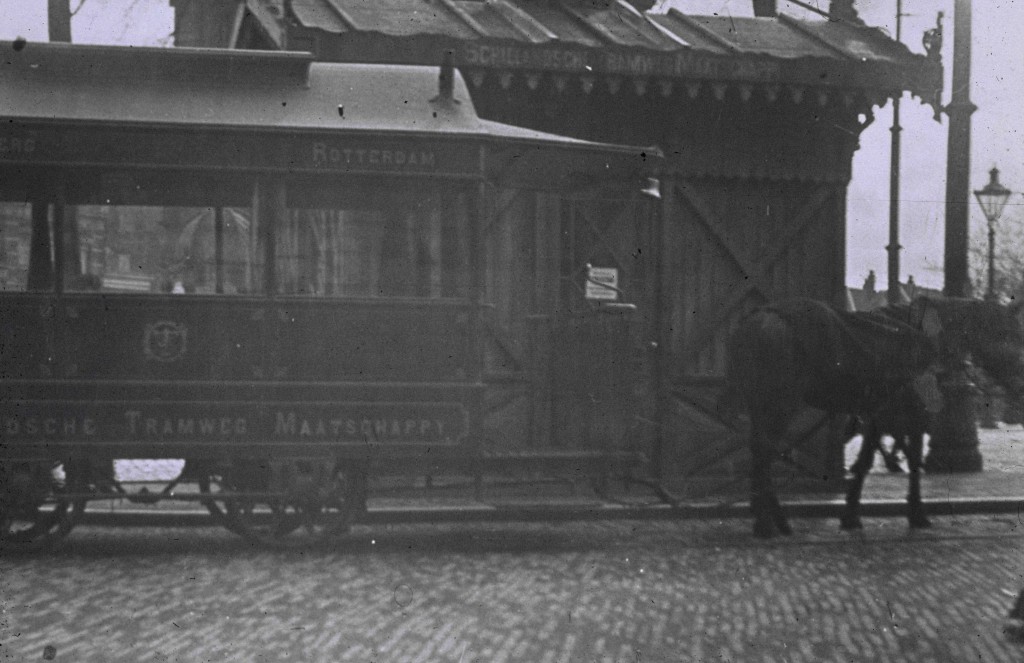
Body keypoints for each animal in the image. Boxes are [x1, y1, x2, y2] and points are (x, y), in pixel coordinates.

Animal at [729, 299, 1024, 536]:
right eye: (1012, 336)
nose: (1018, 392)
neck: (927, 338)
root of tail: (755, 320)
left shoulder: (879, 415)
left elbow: (866, 462)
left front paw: (851, 515)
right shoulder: (909, 415)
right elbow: (908, 461)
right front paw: (916, 514)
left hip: (762, 408)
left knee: (759, 452)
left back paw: (770, 519)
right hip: (779, 406)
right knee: (764, 453)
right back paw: (767, 524)